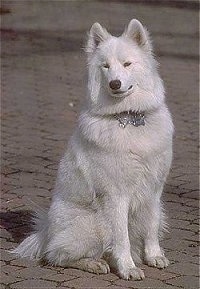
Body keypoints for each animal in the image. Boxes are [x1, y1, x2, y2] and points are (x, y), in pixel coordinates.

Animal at [12, 19, 173, 280]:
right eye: (105, 66)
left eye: (127, 64)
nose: (114, 83)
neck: (129, 118)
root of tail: (46, 231)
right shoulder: (117, 196)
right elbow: (122, 239)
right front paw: (128, 268)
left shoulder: (154, 189)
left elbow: (151, 225)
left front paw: (154, 256)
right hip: (93, 224)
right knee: (57, 256)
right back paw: (93, 264)